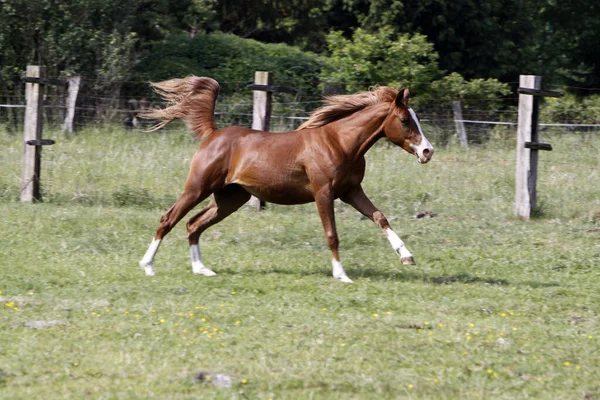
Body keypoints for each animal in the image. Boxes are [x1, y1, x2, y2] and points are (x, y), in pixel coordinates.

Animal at [140, 75, 432, 282]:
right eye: (404, 120)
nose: (427, 151)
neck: (340, 143)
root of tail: (213, 133)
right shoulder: (323, 192)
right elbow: (332, 234)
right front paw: (341, 275)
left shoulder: (351, 191)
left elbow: (379, 216)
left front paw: (407, 256)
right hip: (198, 187)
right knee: (169, 218)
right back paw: (148, 266)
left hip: (230, 198)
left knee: (194, 224)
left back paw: (201, 269)